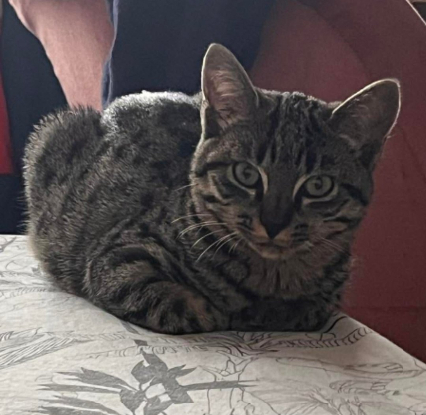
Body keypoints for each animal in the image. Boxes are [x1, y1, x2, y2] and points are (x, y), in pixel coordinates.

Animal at [24, 44, 401, 334]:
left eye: (318, 185)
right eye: (246, 174)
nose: (274, 223)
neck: (272, 276)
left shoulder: (331, 291)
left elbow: (312, 307)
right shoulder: (118, 260)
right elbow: (187, 306)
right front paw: (230, 311)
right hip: (51, 134)